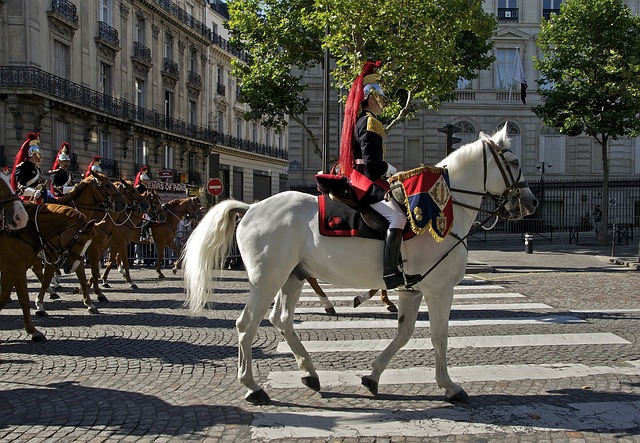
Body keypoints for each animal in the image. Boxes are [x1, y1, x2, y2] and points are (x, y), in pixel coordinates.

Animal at [0, 203, 95, 342]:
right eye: (80, 242)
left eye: (88, 244)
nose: (70, 268)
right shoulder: (18, 268)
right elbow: (25, 298)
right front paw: (34, 329)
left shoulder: (9, 270)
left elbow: (3, 297)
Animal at [182, 124, 536, 406]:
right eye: (514, 161)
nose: (531, 202)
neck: (442, 207)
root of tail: (251, 207)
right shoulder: (439, 290)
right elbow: (439, 337)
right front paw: (449, 386)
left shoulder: (412, 289)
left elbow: (405, 333)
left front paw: (372, 376)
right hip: (267, 280)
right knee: (247, 325)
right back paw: (253, 387)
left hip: (293, 276)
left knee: (280, 319)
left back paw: (309, 373)